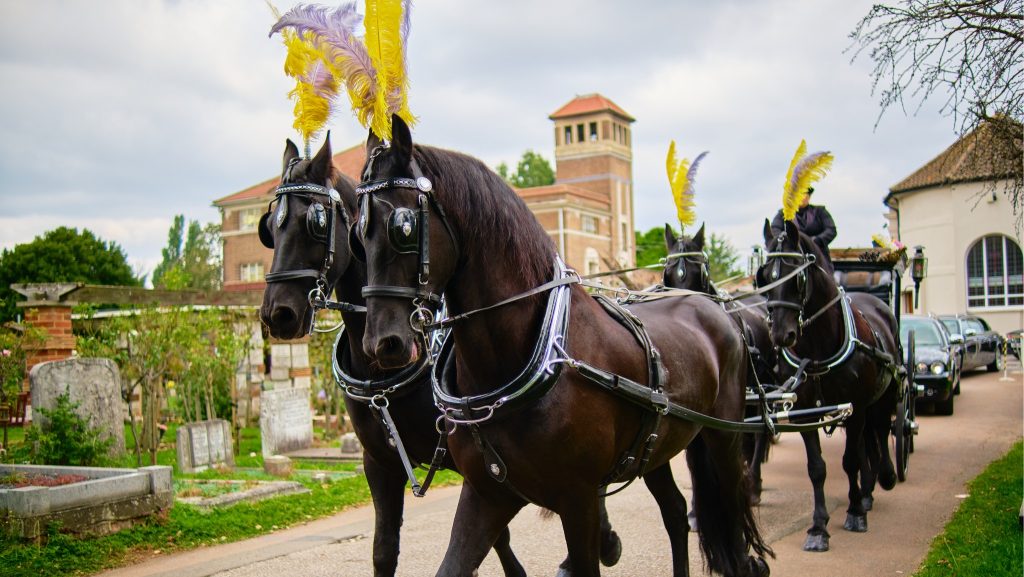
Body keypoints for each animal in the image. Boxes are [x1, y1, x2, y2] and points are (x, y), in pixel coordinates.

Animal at [257, 137, 621, 577]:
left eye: (315, 221)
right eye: (269, 228)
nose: (277, 313)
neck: (384, 373)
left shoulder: (472, 461)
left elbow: (497, 535)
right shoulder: (379, 462)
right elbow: (384, 549)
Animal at [755, 218, 899, 552]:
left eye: (797, 276)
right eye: (764, 277)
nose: (780, 334)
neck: (818, 347)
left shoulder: (855, 407)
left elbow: (850, 460)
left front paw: (855, 512)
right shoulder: (805, 413)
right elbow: (817, 468)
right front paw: (819, 527)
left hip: (884, 394)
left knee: (881, 429)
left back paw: (883, 478)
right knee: (867, 442)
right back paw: (867, 491)